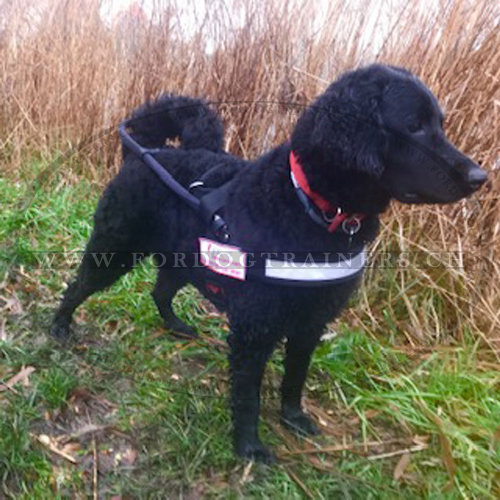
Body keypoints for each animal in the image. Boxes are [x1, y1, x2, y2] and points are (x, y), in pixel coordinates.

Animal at [49, 64, 484, 462]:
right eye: (413, 126)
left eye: (440, 124)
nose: (480, 177)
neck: (311, 208)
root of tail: (146, 154)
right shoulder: (254, 331)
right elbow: (247, 397)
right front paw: (249, 448)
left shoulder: (311, 322)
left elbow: (295, 378)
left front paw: (293, 418)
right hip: (113, 250)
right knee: (77, 287)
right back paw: (59, 327)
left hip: (184, 260)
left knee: (160, 291)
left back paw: (175, 326)